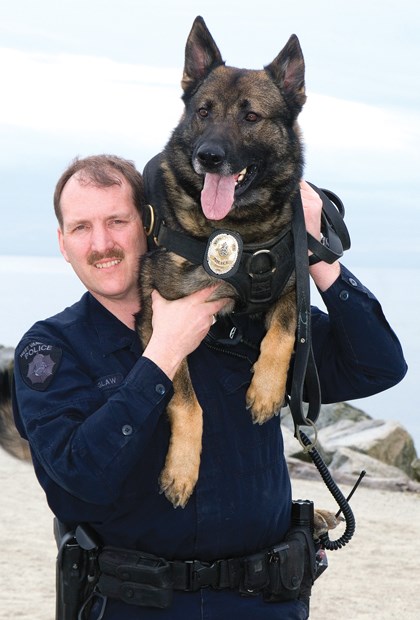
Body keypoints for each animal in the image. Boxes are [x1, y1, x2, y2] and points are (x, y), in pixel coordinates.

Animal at [138, 15, 306, 508]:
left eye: (251, 117)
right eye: (203, 111)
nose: (208, 157)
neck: (237, 230)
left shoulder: (294, 282)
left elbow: (284, 329)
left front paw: (267, 390)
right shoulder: (157, 319)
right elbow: (186, 400)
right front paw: (181, 470)